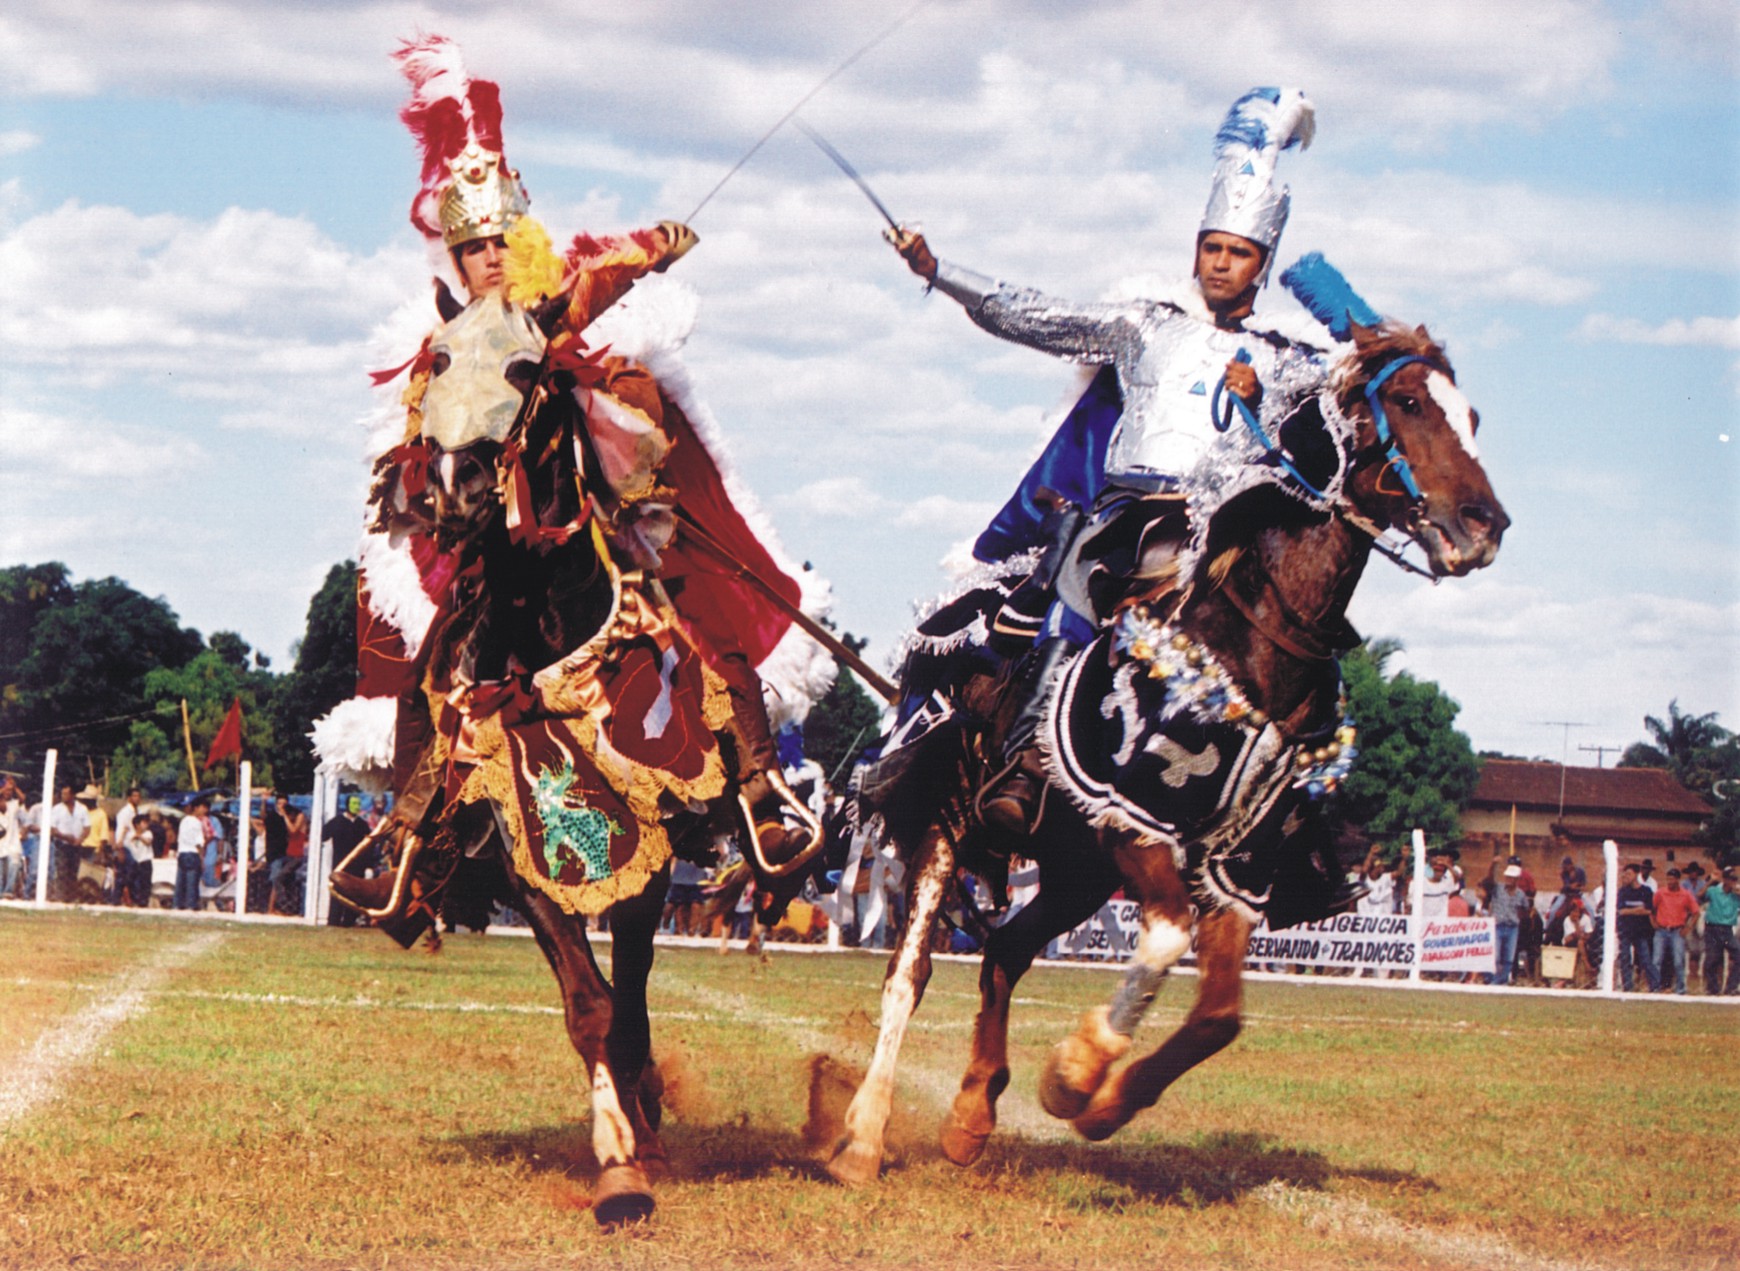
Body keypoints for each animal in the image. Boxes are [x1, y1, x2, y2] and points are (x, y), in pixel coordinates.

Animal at [821, 315, 1503, 1176]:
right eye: (1409, 401)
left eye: (1472, 416)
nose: (1485, 525)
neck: (1249, 634)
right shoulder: (1131, 822)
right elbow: (1168, 934)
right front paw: (1078, 1071)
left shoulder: (1235, 868)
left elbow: (1219, 1015)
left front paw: (1104, 1099)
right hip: (948, 818)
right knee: (908, 972)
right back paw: (863, 1134)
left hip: (1073, 871)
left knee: (1005, 948)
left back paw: (971, 1115)